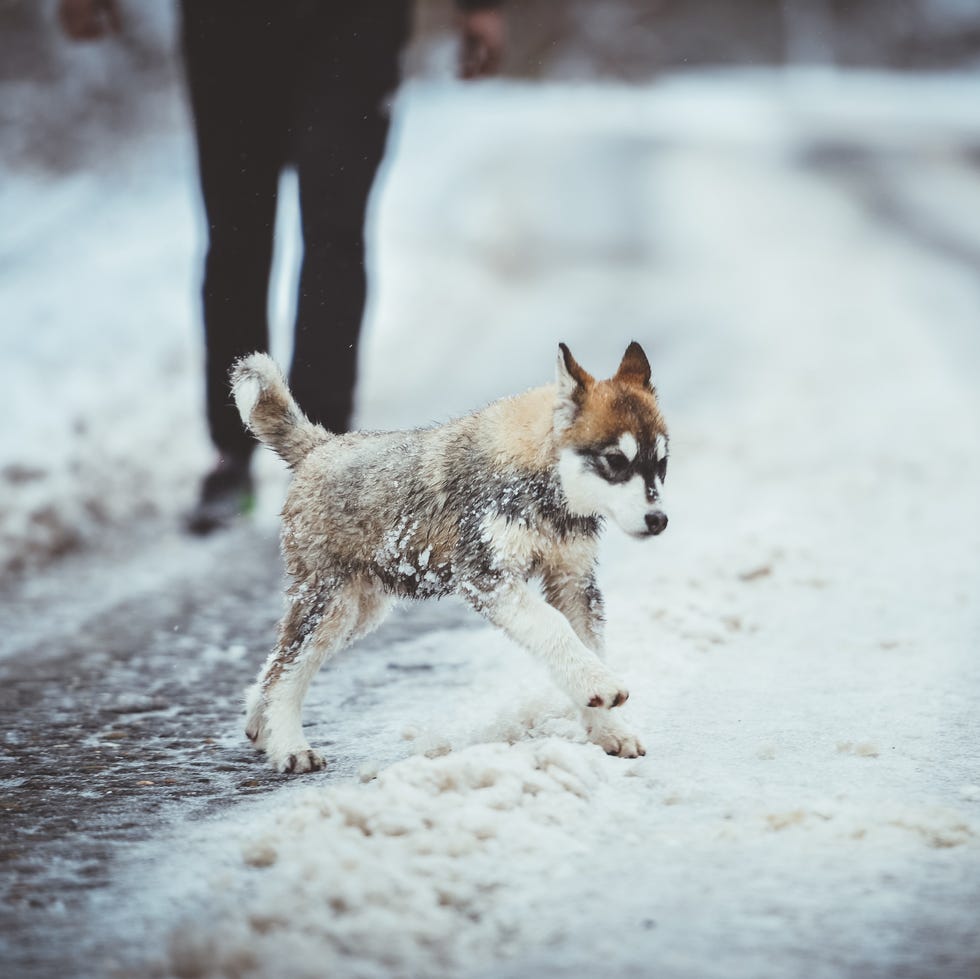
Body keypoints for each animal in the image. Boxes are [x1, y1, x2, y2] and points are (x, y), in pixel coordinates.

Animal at [234, 344, 668, 772]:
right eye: (615, 460)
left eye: (661, 462)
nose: (658, 520)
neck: (540, 477)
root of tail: (320, 446)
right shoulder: (485, 577)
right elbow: (553, 627)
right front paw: (599, 685)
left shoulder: (573, 581)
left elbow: (589, 644)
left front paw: (609, 729)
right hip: (329, 605)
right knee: (287, 670)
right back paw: (291, 748)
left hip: (357, 615)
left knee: (276, 664)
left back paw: (261, 723)